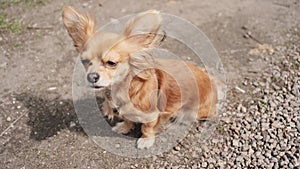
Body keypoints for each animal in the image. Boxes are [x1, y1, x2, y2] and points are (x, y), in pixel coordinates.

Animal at [62, 6, 219, 149]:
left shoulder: (151, 115)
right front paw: (124, 127)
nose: (91, 76)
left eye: (111, 63)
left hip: (198, 110)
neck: (122, 88)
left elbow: (147, 128)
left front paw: (146, 140)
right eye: (85, 61)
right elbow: (127, 119)